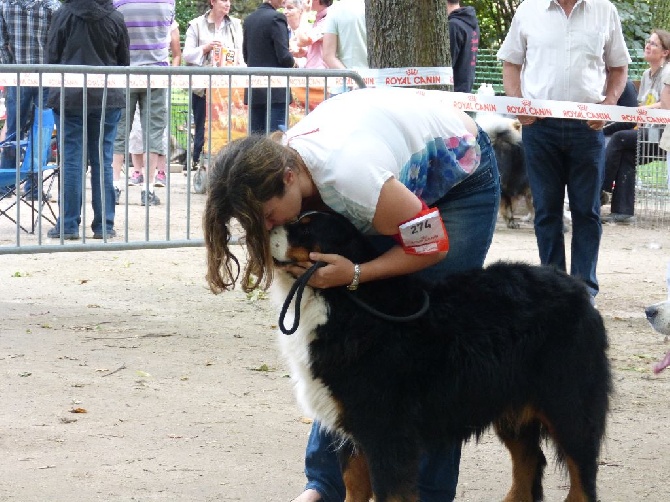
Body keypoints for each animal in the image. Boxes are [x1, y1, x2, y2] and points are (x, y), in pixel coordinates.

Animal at [270, 211, 612, 502]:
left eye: (306, 227)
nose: (268, 224)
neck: (344, 302)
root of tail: (575, 287)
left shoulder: (387, 431)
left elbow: (390, 493)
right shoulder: (353, 427)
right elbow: (353, 486)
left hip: (567, 404)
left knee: (582, 473)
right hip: (509, 403)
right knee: (529, 460)